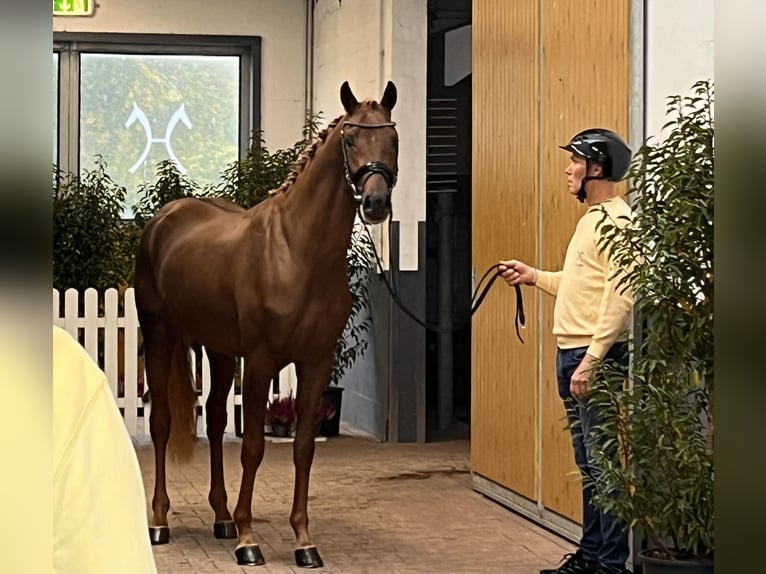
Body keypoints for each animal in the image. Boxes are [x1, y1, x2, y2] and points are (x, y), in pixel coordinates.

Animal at [135, 82, 400, 572]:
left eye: (392, 138)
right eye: (350, 139)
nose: (376, 204)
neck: (298, 251)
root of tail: (164, 217)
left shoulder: (316, 364)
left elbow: (303, 448)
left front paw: (303, 541)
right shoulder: (260, 362)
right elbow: (254, 447)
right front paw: (248, 539)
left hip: (219, 350)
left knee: (215, 419)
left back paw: (220, 517)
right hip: (159, 334)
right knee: (161, 423)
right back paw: (160, 521)